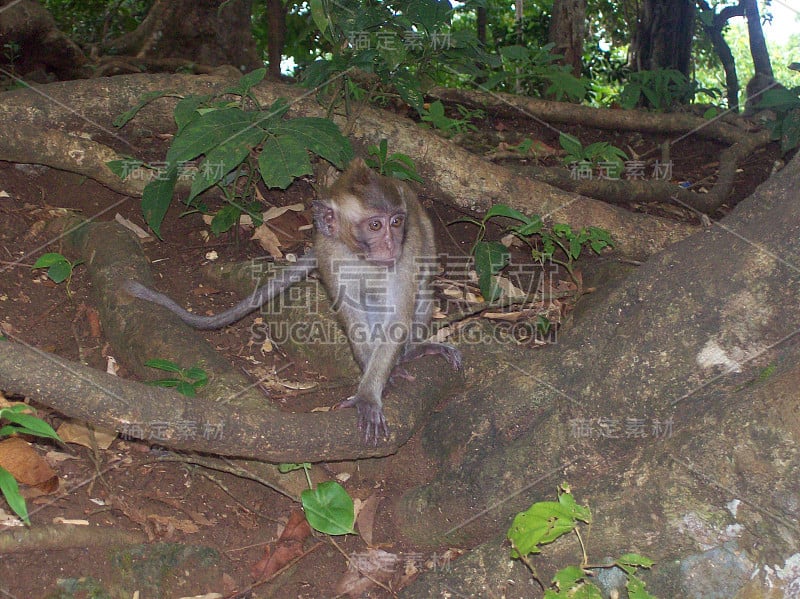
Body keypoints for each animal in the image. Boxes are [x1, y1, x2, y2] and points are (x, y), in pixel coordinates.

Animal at [126, 159, 462, 446]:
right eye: (375, 225)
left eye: (396, 221)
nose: (392, 244)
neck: (359, 255)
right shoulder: (328, 250)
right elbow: (351, 315)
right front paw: (376, 382)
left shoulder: (407, 251)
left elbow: (397, 316)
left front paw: (370, 391)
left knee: (421, 289)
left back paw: (412, 350)